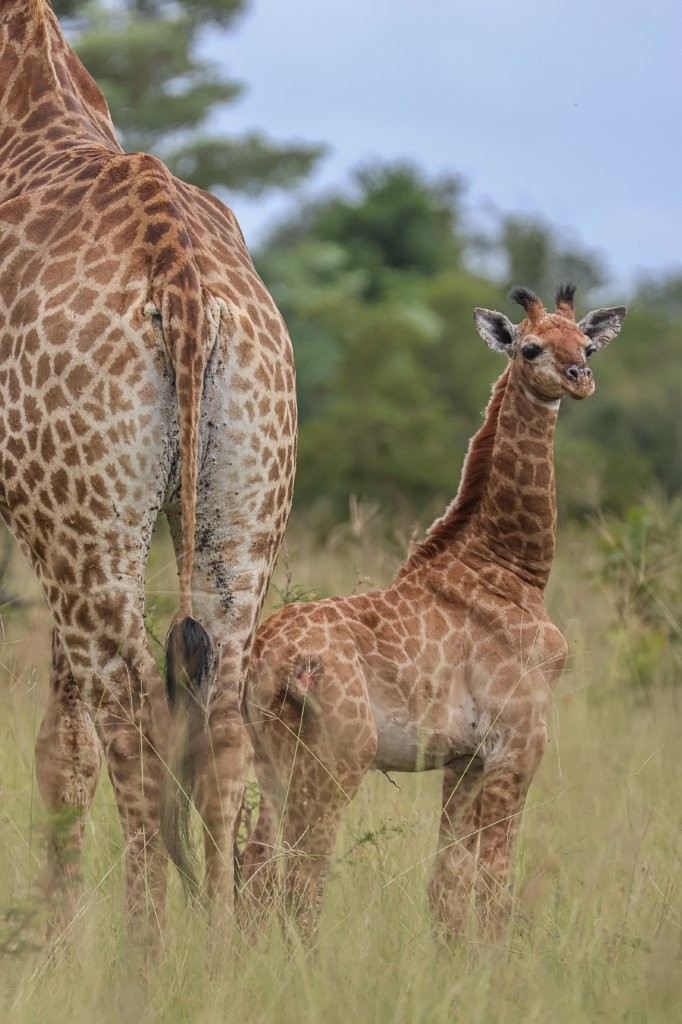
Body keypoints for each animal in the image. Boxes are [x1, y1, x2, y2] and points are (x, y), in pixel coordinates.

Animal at [0, 1, 296, 932]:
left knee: (129, 718)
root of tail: (183, 283)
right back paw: (221, 944)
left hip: (80, 530)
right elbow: (59, 742)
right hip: (233, 522)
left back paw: (145, 944)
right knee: (220, 717)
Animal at [240, 284, 627, 940]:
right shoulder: (520, 739)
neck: (509, 568)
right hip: (339, 755)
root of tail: (268, 660)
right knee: (301, 876)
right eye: (529, 347)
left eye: (588, 343)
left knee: (258, 868)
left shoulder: (465, 758)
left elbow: (447, 887)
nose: (581, 378)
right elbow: (493, 884)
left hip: (270, 755)